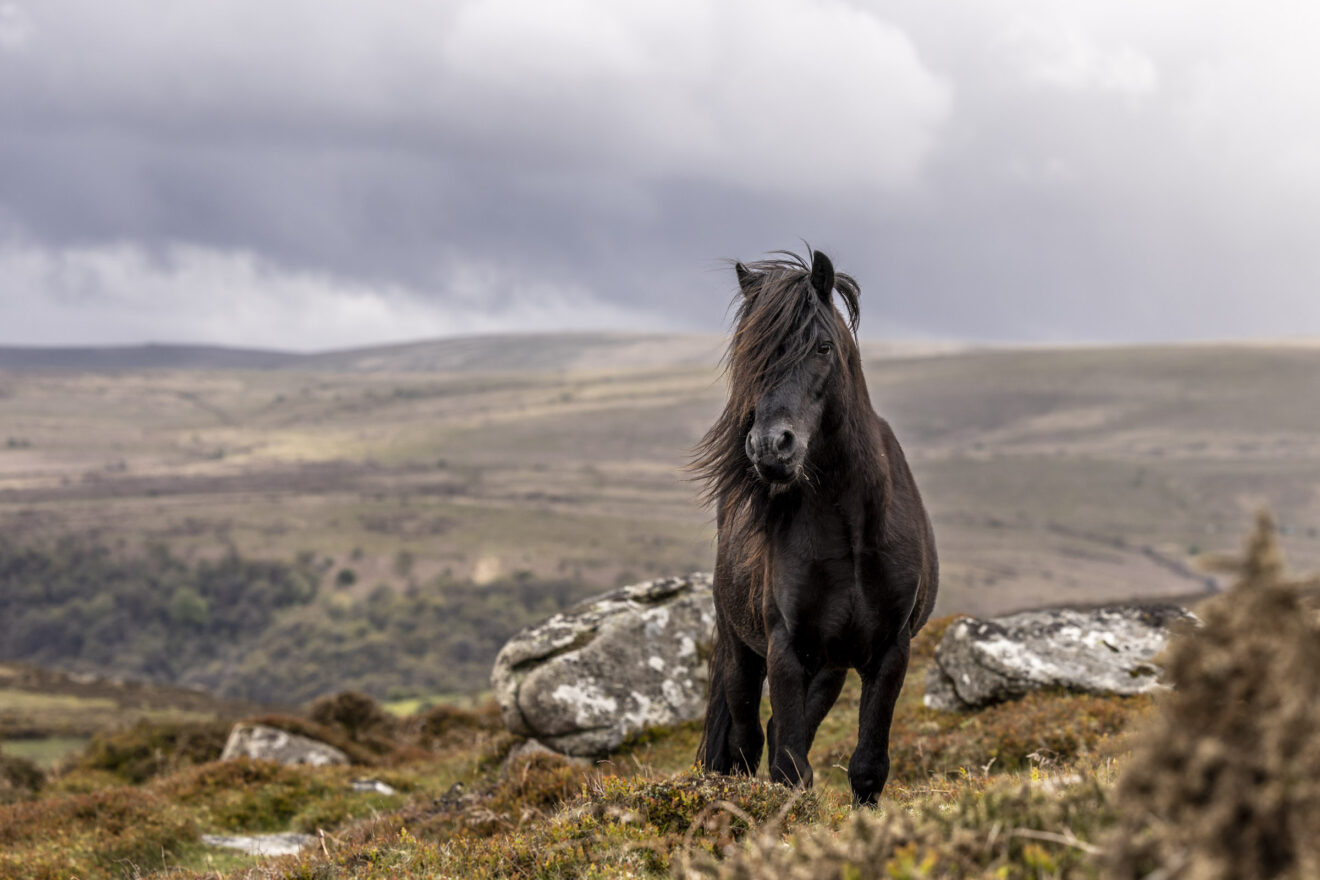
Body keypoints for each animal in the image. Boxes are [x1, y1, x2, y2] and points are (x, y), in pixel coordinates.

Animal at [691, 248, 938, 805]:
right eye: (750, 353)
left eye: (823, 346)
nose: (770, 447)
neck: (852, 531)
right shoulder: (785, 648)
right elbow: (788, 767)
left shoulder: (889, 652)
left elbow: (866, 767)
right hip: (742, 652)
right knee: (745, 740)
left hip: (831, 668)